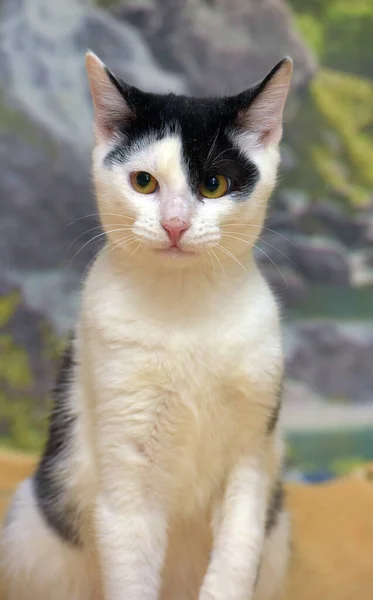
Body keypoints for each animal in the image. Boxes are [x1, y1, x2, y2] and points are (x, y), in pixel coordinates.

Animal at [0, 51, 290, 600]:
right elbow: (131, 558)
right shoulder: (126, 474)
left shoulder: (252, 455)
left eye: (214, 184)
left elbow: (237, 552)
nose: (175, 224)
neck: (185, 308)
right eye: (143, 182)